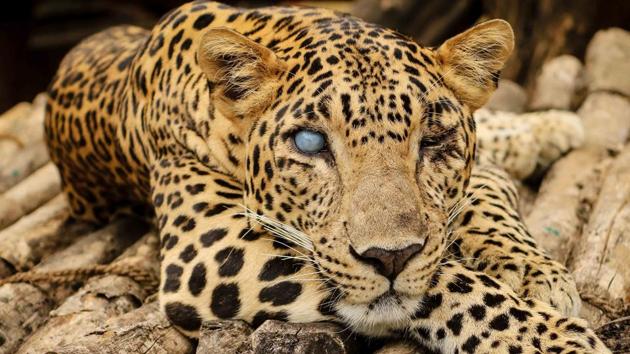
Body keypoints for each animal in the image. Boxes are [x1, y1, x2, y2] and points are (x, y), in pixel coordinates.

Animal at [40, 1, 612, 352]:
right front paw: (550, 339)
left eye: (432, 140)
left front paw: (535, 272)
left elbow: (485, 201)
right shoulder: (206, 248)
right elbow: (447, 281)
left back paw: (551, 126)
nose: (390, 257)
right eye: (310, 144)